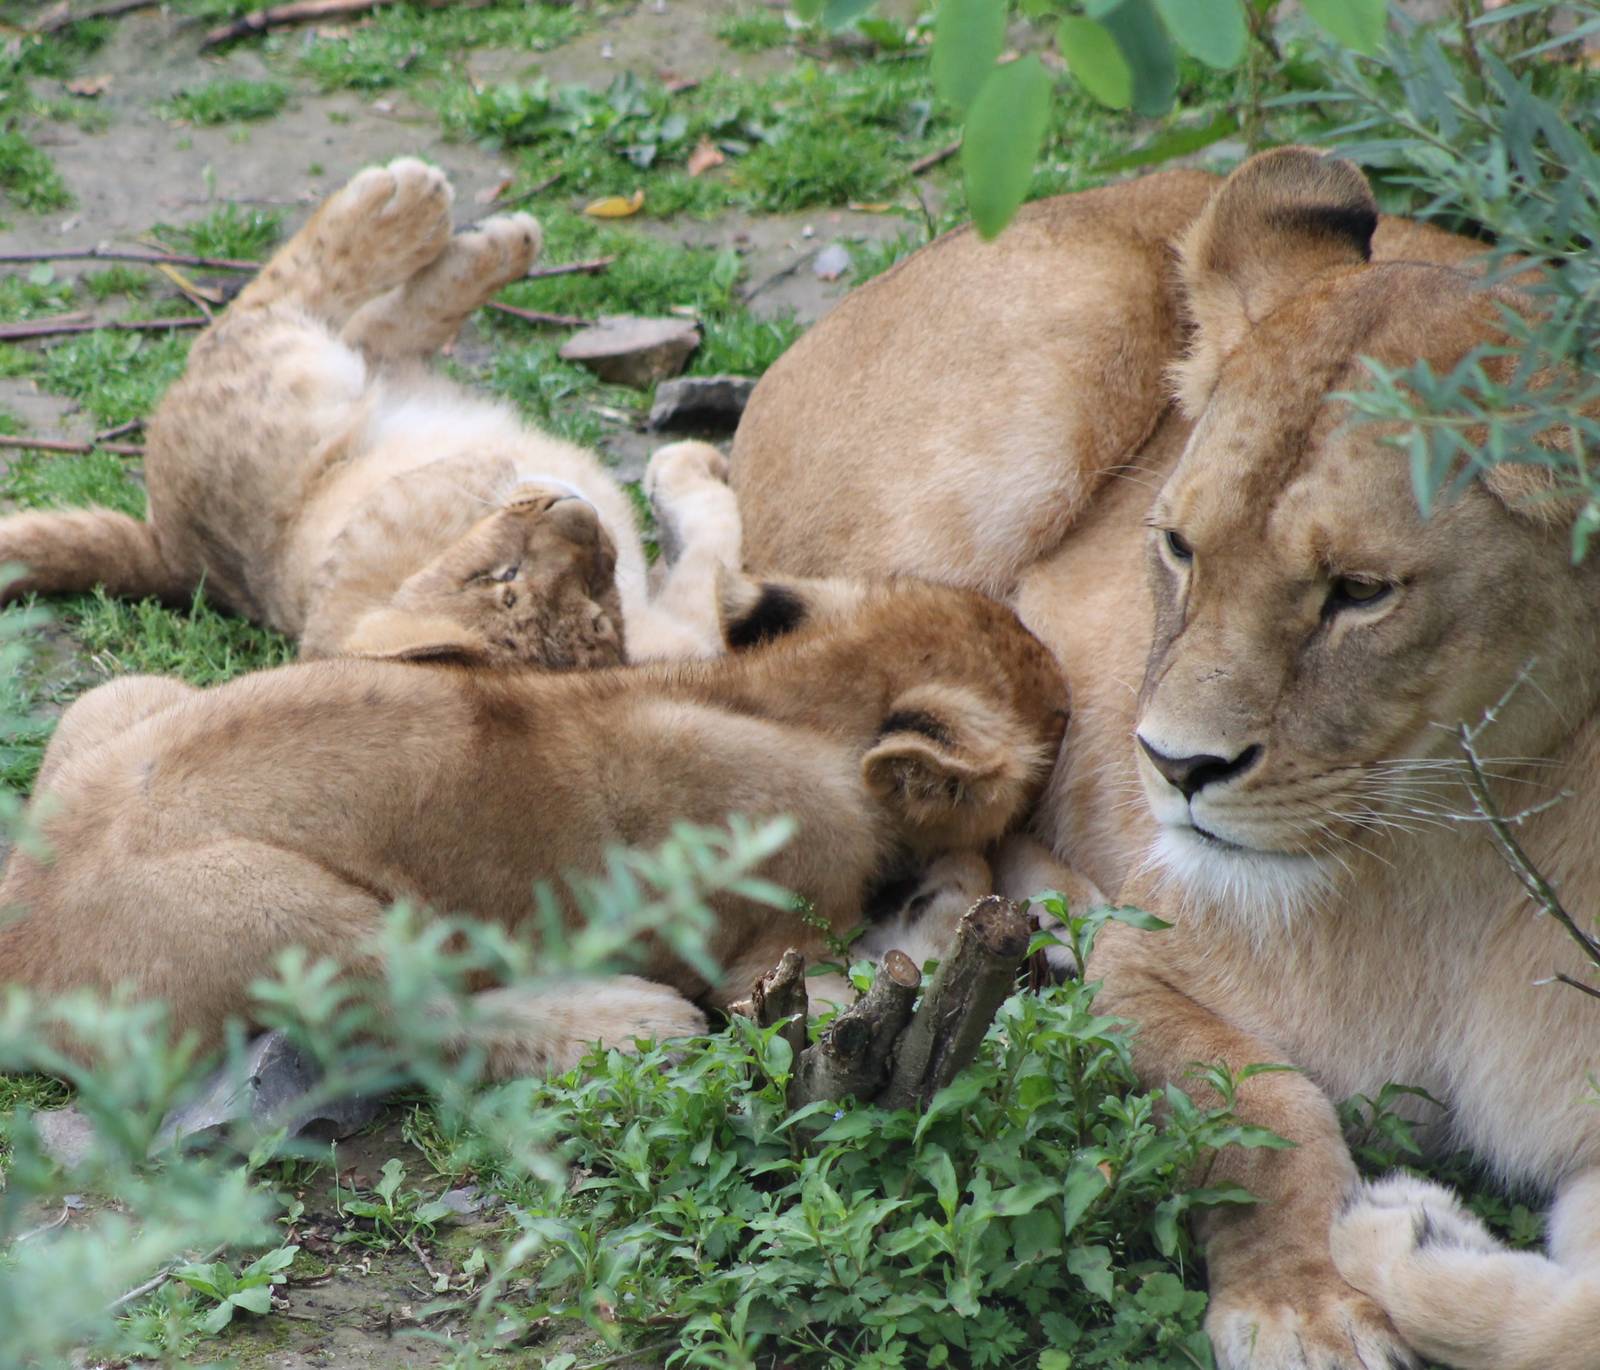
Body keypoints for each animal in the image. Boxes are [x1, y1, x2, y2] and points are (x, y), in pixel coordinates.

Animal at [0, 159, 740, 668]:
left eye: (595, 607)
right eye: (500, 579)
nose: (580, 515)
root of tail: (171, 552)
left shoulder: (694, 636)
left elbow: (717, 550)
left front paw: (690, 467)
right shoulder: (395, 508)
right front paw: (685, 464)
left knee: (375, 328)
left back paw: (490, 240)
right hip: (295, 384)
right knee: (270, 305)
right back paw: (413, 205)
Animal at [0, 573, 1068, 1075]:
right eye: (1058, 711)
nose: (1072, 698)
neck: (792, 695)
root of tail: (17, 940)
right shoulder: (774, 947)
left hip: (122, 699)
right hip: (288, 910)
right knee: (426, 1017)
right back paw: (634, 1023)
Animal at [732, 148, 1600, 1370]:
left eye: (1360, 591)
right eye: (1179, 544)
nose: (1175, 767)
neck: (1460, 842)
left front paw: (1412, 1235)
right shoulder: (1152, 966)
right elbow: (1256, 1108)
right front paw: (1306, 1306)